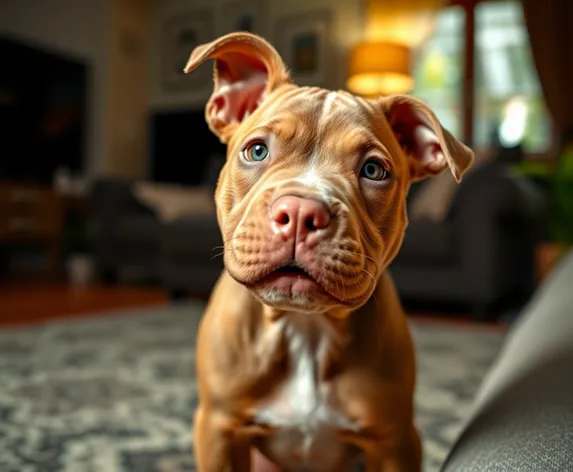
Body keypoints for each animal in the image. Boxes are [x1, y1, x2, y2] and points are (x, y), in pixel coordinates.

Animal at [184, 33, 474, 472]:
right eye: (256, 151)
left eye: (374, 170)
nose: (302, 212)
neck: (305, 326)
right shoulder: (219, 429)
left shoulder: (395, 441)